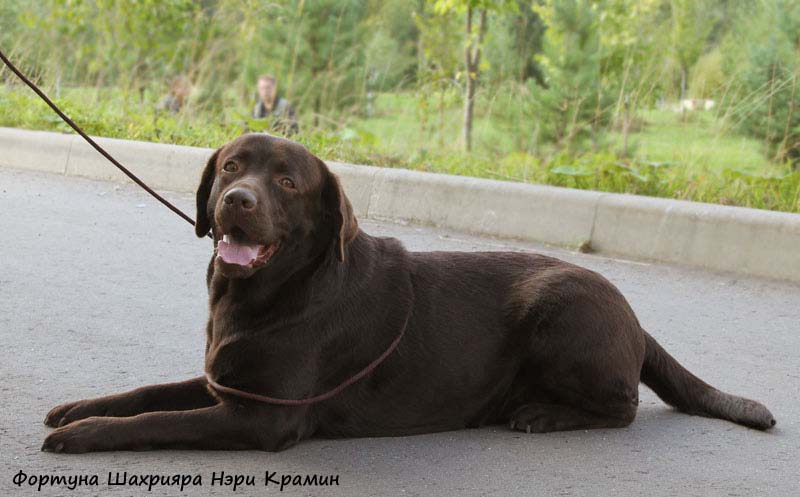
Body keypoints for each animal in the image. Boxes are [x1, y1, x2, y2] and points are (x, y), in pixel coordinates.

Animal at [42, 134, 776, 452]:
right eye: (230, 166)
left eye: (286, 181)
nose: (237, 202)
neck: (274, 291)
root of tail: (633, 313)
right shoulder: (228, 382)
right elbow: (145, 394)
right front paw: (78, 408)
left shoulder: (263, 416)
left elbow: (155, 420)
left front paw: (84, 435)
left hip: (561, 311)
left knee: (623, 406)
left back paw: (543, 415)